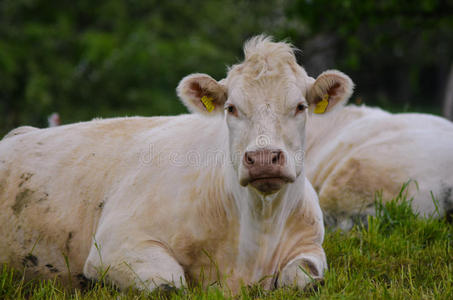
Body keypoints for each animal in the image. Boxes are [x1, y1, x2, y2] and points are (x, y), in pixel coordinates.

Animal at [0, 36, 354, 292]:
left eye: (300, 106)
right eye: (231, 108)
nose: (264, 158)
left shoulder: (310, 245)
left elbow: (304, 278)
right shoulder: (115, 245)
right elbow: (171, 284)